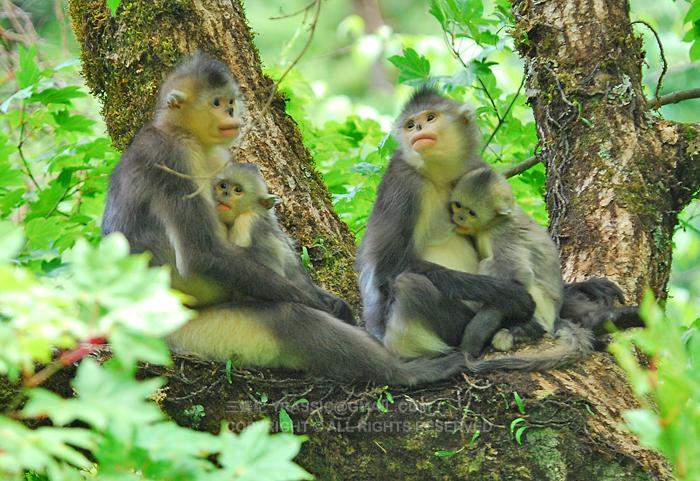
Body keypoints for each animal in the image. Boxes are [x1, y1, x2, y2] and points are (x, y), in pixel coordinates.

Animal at [452, 167, 568, 350]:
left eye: (471, 213)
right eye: (458, 205)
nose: (460, 218)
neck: (491, 224)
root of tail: (555, 317)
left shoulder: (503, 233)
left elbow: (520, 277)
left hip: (544, 307)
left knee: (490, 264)